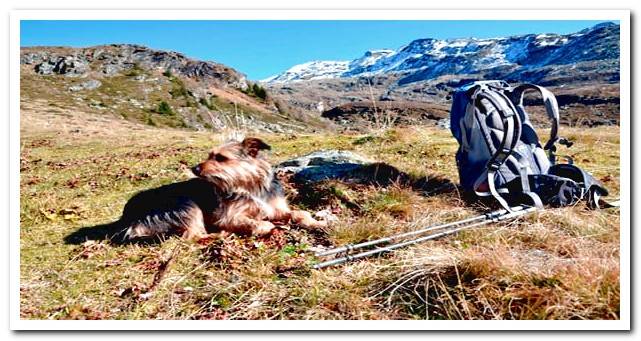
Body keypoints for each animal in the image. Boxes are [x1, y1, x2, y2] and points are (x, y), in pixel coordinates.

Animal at [117, 137, 324, 240]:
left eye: (220, 158)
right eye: (210, 156)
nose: (194, 168)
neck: (249, 186)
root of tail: (128, 217)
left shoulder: (274, 207)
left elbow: (299, 213)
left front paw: (316, 222)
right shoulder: (227, 217)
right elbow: (256, 222)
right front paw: (264, 226)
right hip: (186, 205)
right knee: (191, 236)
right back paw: (219, 235)